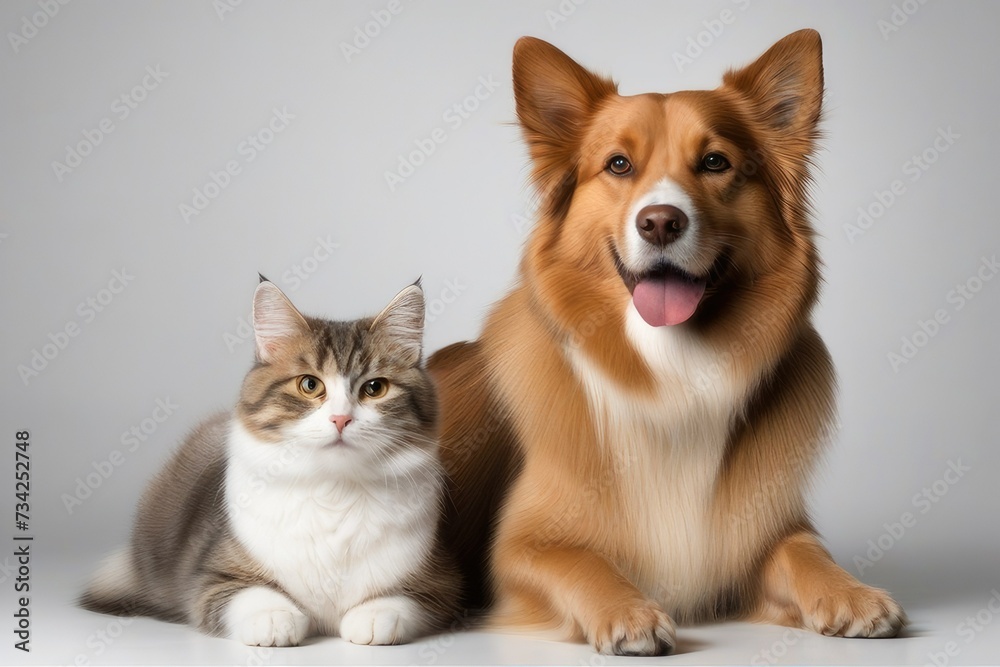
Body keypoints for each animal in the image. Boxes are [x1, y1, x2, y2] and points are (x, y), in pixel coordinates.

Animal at [80, 278, 462, 648]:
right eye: (309, 385)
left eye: (374, 388)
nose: (340, 419)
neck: (334, 488)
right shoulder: (212, 578)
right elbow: (252, 594)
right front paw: (275, 618)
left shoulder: (441, 581)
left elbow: (399, 602)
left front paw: (374, 616)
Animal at [430, 28, 908, 656]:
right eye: (618, 164)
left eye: (715, 162)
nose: (660, 221)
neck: (674, 363)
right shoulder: (520, 548)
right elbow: (582, 562)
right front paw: (628, 611)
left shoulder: (757, 530)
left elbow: (806, 550)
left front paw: (851, 593)